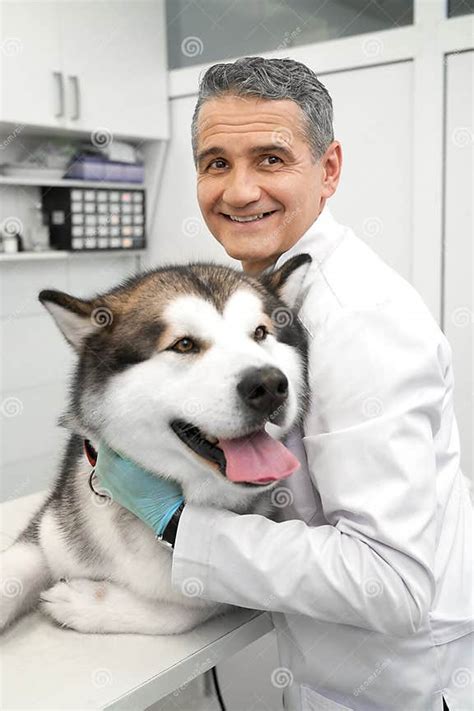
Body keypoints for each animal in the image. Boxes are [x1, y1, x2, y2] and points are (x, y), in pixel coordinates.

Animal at [1, 253, 312, 636]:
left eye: (260, 333)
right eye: (184, 344)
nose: (269, 386)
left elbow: (182, 609)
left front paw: (86, 600)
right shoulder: (47, 531)